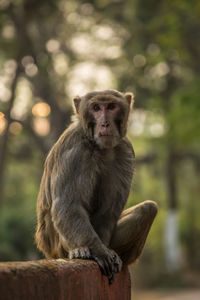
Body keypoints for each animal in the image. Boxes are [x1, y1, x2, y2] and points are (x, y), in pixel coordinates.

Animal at [36, 89, 158, 284]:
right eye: (96, 108)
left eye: (111, 106)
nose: (105, 123)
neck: (98, 146)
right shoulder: (75, 151)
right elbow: (68, 206)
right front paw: (98, 251)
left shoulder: (124, 150)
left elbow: (108, 211)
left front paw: (106, 251)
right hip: (56, 247)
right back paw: (80, 251)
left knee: (148, 208)